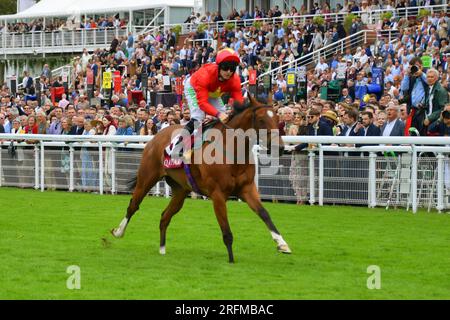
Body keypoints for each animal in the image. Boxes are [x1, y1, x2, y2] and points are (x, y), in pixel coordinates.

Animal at [112, 95, 292, 262]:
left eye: (277, 119)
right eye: (261, 120)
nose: (280, 148)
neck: (232, 151)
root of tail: (157, 136)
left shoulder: (247, 188)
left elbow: (264, 213)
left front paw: (282, 244)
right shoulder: (218, 194)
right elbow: (226, 231)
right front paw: (231, 260)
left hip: (180, 191)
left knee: (164, 217)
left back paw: (162, 249)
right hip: (147, 178)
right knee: (133, 205)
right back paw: (118, 231)